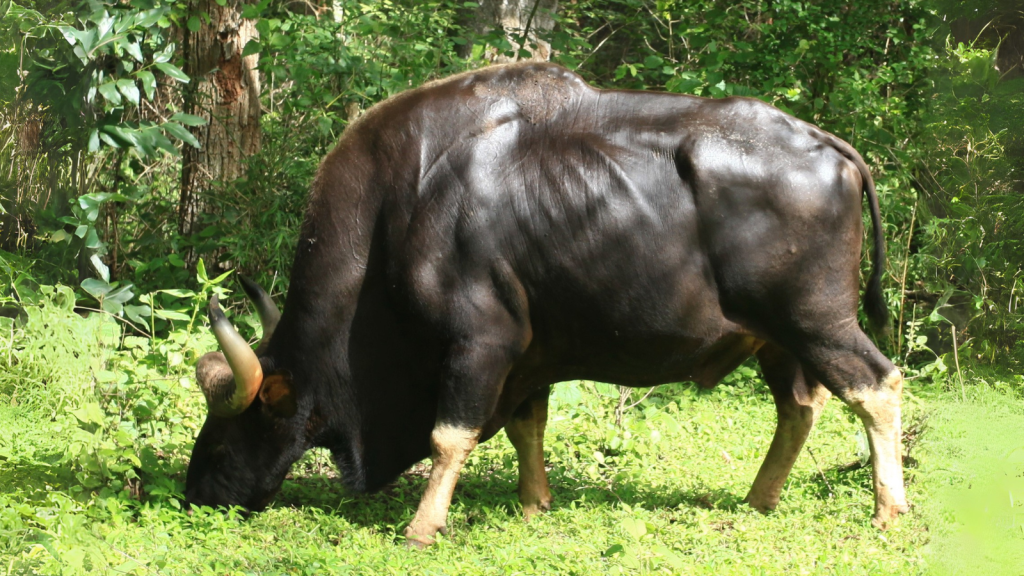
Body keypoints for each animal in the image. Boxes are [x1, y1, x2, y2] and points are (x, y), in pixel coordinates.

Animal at [184, 61, 905, 541]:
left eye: (225, 440)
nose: (196, 497)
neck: (401, 209)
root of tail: (831, 146)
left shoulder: (481, 342)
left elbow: (449, 435)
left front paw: (423, 527)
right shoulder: (531, 350)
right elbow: (527, 423)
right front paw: (535, 503)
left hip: (815, 319)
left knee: (876, 383)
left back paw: (888, 509)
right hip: (776, 338)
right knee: (800, 407)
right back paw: (759, 500)